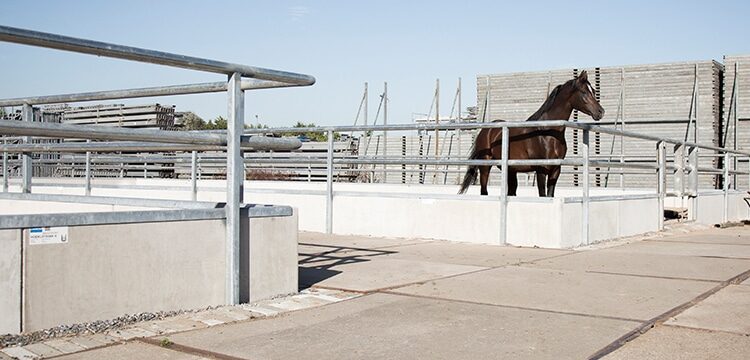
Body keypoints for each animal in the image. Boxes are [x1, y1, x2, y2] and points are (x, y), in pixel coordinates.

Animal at [458, 70, 604, 197]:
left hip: (510, 170)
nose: (600, 112)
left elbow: (550, 195)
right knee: (484, 190)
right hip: (485, 167)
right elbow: (543, 195)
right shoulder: (541, 170)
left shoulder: (556, 170)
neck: (548, 133)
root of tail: (485, 131)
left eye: (593, 90)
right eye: (584, 92)